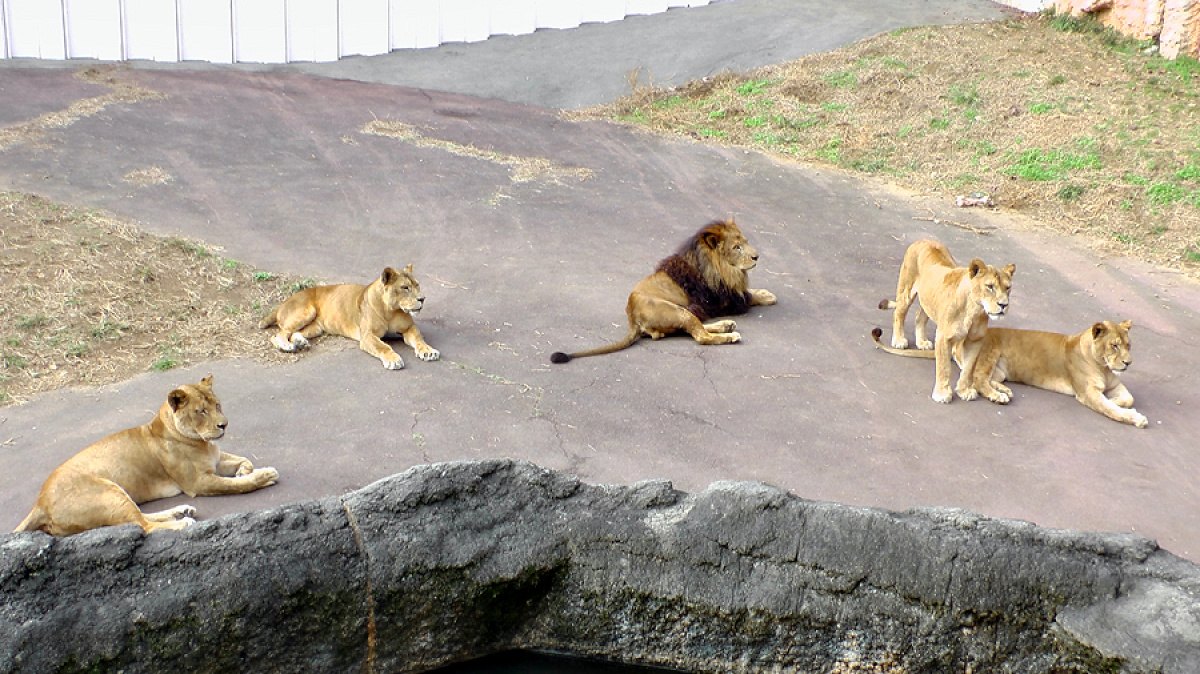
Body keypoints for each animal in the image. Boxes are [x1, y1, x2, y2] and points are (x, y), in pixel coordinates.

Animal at [552, 219, 777, 362]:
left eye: (745, 242)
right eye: (736, 247)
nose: (756, 256)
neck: (720, 267)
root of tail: (632, 317)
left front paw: (765, 292)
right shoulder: (721, 300)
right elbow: (748, 296)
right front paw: (766, 296)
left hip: (681, 314)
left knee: (696, 328)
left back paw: (726, 325)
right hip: (678, 311)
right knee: (700, 335)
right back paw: (730, 335)